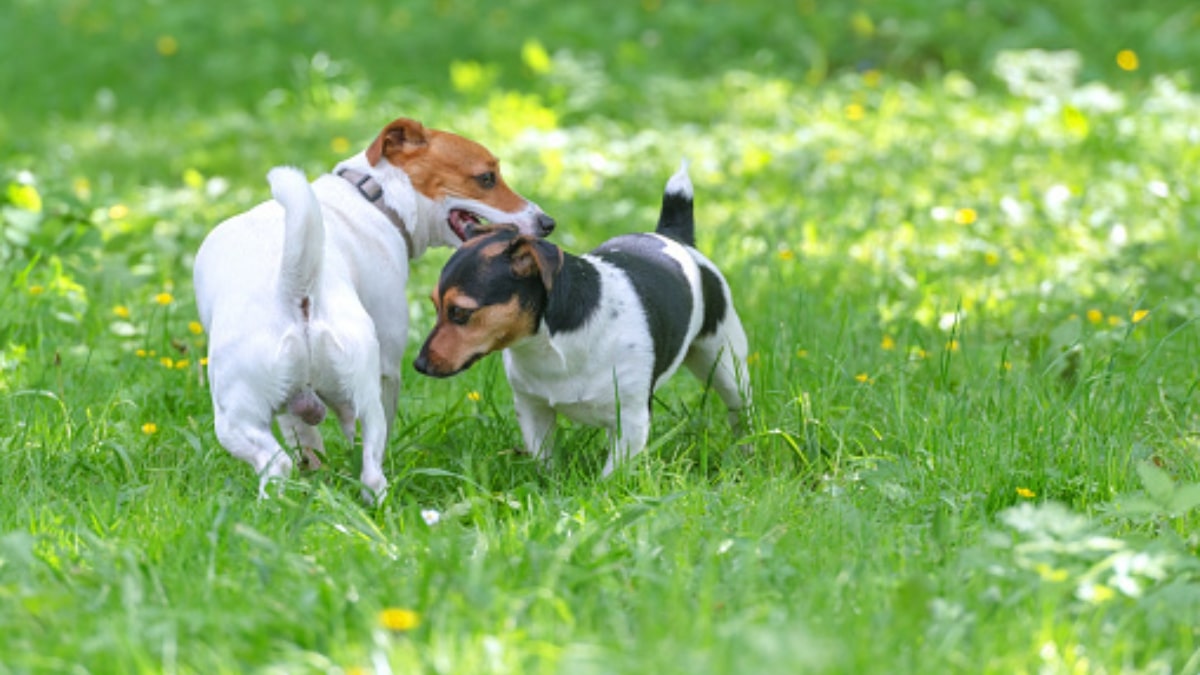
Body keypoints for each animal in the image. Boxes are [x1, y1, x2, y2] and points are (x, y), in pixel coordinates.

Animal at [194, 117, 554, 499]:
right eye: (486, 178)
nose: (548, 223)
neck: (373, 197)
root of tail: (295, 288)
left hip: (257, 414)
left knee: (293, 464)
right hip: (324, 401)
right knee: (347, 468)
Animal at [412, 162, 748, 473]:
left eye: (460, 312)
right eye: (435, 306)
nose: (419, 365)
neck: (550, 345)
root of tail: (672, 236)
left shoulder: (631, 421)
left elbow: (611, 477)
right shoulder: (533, 410)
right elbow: (545, 463)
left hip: (725, 362)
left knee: (738, 407)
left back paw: (745, 447)